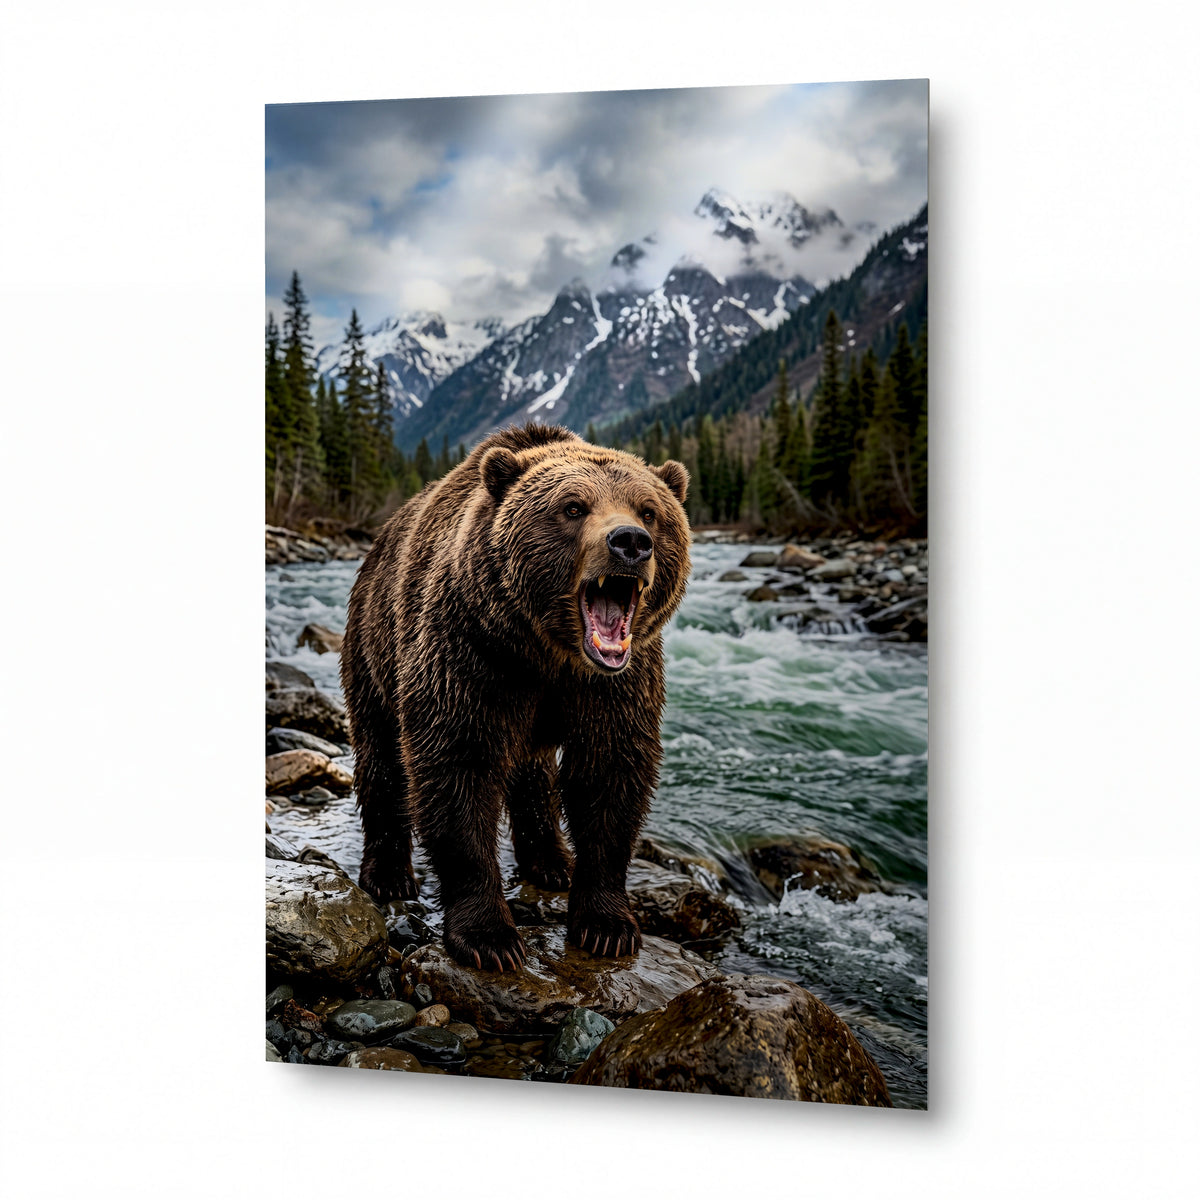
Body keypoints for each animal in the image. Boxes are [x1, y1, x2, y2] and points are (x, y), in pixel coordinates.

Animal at [339, 423, 690, 972]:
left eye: (649, 509)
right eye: (573, 507)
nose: (631, 542)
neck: (549, 653)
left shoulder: (614, 686)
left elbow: (610, 774)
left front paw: (607, 925)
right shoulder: (472, 654)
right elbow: (458, 768)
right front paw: (490, 938)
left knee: (533, 774)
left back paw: (551, 862)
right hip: (372, 646)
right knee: (381, 754)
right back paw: (388, 872)